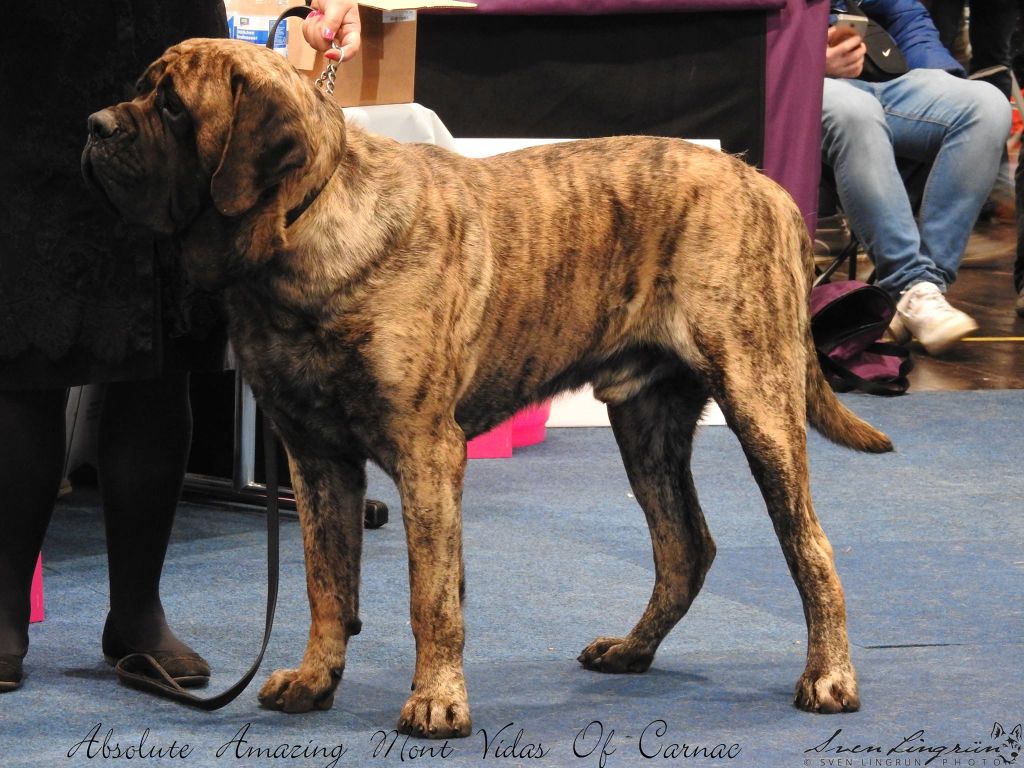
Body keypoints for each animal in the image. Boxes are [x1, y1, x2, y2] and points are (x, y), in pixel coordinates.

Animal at [82, 38, 892, 738]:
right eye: (140, 91)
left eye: (173, 107)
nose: (95, 125)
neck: (299, 233)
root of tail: (768, 185)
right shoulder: (313, 457)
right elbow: (325, 581)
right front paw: (315, 680)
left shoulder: (426, 451)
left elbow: (433, 594)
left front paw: (437, 702)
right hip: (646, 422)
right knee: (683, 547)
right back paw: (632, 650)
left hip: (759, 400)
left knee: (809, 547)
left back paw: (829, 677)